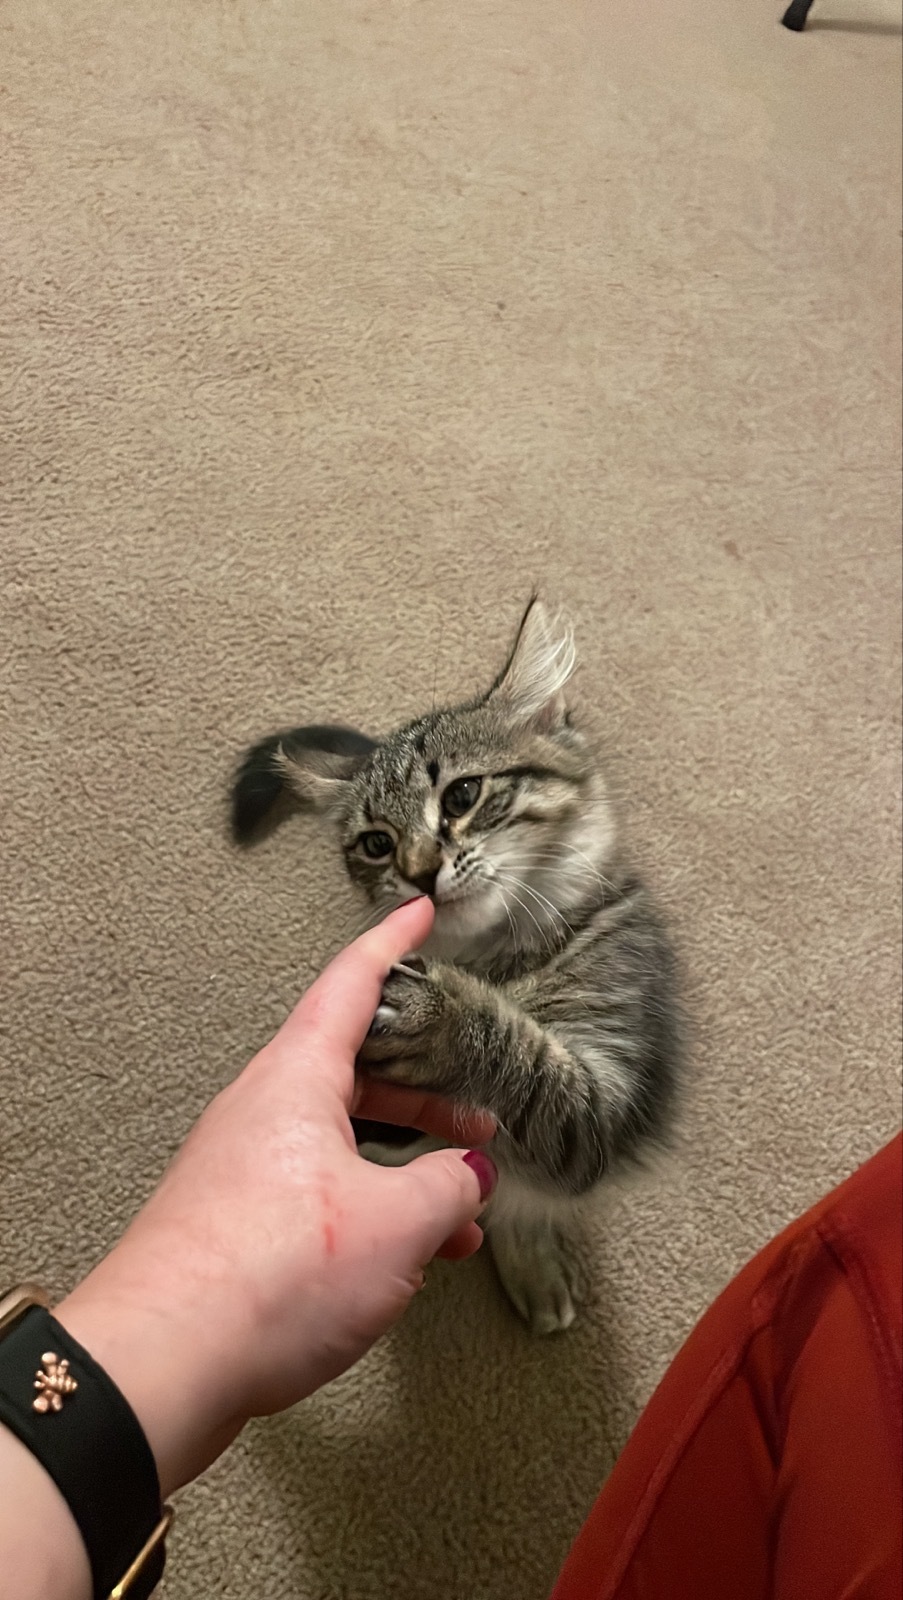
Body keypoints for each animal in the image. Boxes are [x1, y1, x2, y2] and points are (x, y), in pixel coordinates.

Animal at [232, 601, 678, 1337]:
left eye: (464, 794)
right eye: (376, 844)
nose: (417, 873)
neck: (494, 958)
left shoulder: (604, 1105)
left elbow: (529, 1065)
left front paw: (439, 1018)